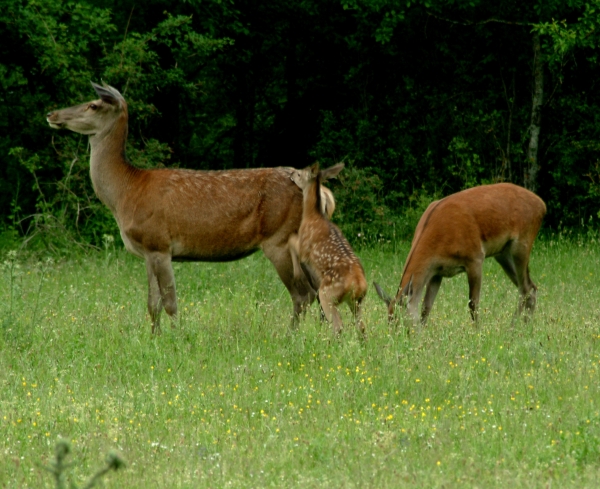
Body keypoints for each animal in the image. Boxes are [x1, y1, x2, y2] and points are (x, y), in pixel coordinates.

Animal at [45, 82, 338, 334]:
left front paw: (177, 338)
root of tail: (321, 192)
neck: (125, 193)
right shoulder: (148, 251)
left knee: (303, 294)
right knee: (320, 290)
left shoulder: (159, 243)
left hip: (279, 238)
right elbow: (152, 304)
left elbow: (170, 302)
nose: (52, 114)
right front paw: (154, 338)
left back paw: (291, 335)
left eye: (93, 105)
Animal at [288, 164, 368, 336]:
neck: (313, 216)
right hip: (357, 301)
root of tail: (358, 284)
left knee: (338, 326)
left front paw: (297, 273)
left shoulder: (304, 246)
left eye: (300, 173)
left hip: (327, 294)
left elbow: (290, 240)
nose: (291, 173)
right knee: (362, 327)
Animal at [376, 183, 548, 328]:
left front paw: (478, 331)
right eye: (389, 321)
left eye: (402, 323)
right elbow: (426, 306)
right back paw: (523, 327)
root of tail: (542, 205)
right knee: (531, 287)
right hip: (503, 253)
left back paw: (513, 328)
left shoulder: (475, 257)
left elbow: (473, 304)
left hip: (522, 243)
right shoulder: (436, 271)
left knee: (526, 288)